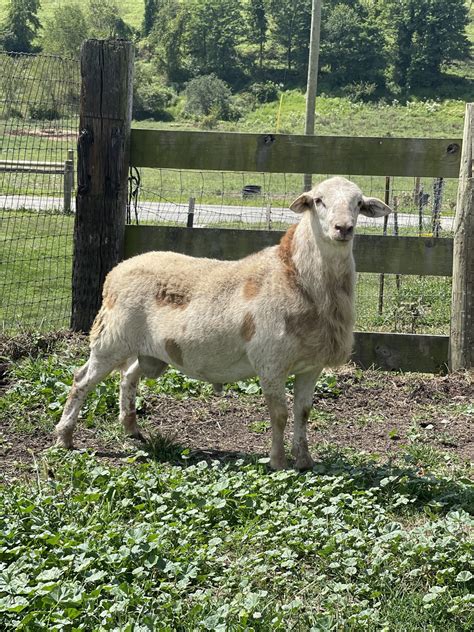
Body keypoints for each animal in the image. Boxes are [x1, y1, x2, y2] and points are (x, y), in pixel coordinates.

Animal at [55, 177, 390, 470]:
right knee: (81, 381)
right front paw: (278, 462)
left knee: (128, 377)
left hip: (150, 350)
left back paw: (132, 429)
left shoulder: (311, 365)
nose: (343, 228)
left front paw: (305, 461)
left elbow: (303, 412)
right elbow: (280, 414)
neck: (295, 276)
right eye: (318, 201)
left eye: (358, 203)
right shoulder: (271, 362)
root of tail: (116, 271)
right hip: (111, 340)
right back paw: (65, 437)